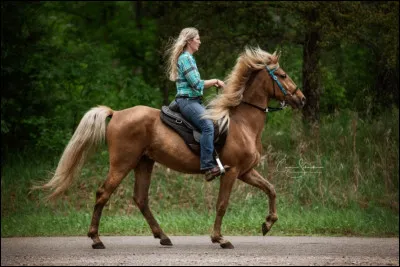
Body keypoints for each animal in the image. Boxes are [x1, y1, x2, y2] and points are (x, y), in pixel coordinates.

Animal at [32, 46, 306, 249]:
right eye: (282, 75)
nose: (301, 99)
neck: (241, 123)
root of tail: (117, 113)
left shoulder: (246, 172)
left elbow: (271, 189)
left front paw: (268, 223)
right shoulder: (231, 172)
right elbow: (222, 204)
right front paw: (220, 238)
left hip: (144, 163)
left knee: (140, 199)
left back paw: (163, 236)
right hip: (122, 163)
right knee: (103, 193)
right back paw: (96, 239)